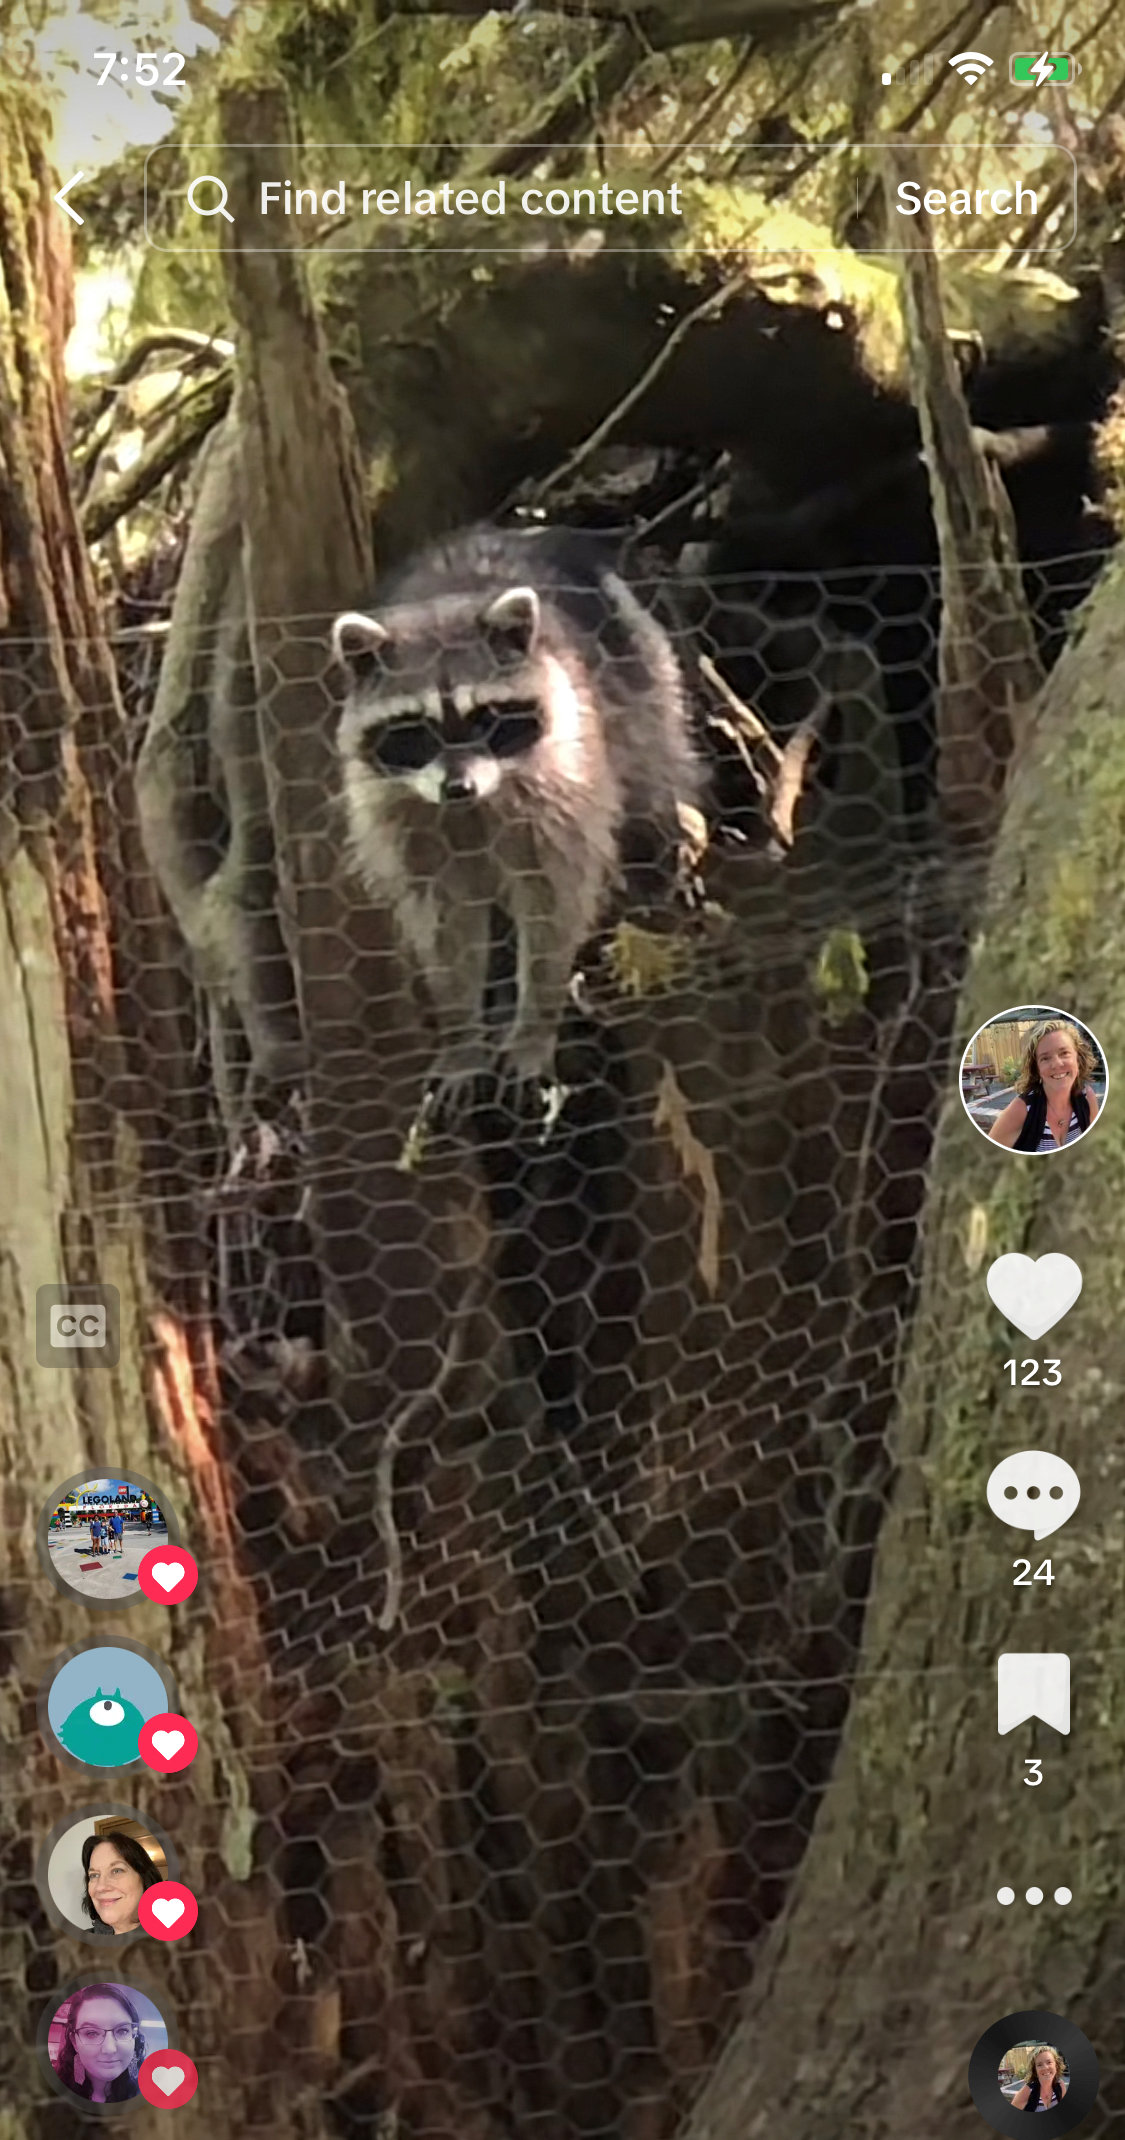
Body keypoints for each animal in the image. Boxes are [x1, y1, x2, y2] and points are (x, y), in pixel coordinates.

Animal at [331, 524, 702, 1124]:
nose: (457, 788)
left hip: (647, 682)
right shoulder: (402, 819)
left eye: (485, 718)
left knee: (654, 781)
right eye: (416, 730)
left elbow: (554, 904)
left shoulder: (567, 780)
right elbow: (446, 926)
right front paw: (462, 1035)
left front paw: (534, 1024)